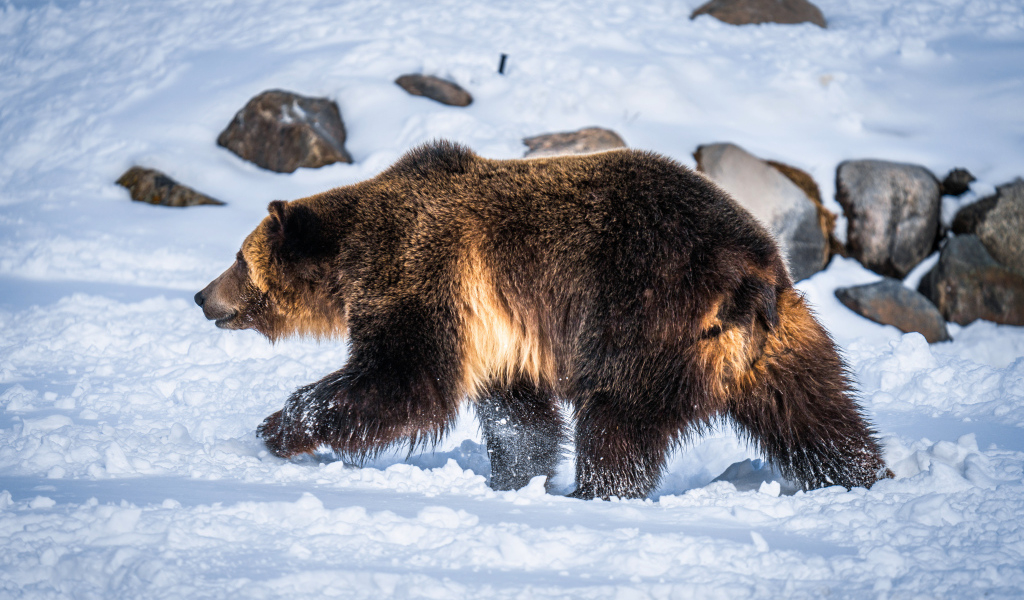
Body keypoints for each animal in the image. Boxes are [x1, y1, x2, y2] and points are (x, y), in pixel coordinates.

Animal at [195, 141, 889, 499]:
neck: (353, 257)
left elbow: (405, 378)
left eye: (238, 258)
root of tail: (749, 275)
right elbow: (519, 417)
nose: (202, 296)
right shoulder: (502, 333)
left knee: (616, 425)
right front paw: (513, 477)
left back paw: (598, 492)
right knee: (819, 414)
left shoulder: (424, 274)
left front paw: (279, 426)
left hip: (642, 322)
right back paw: (863, 476)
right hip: (783, 338)